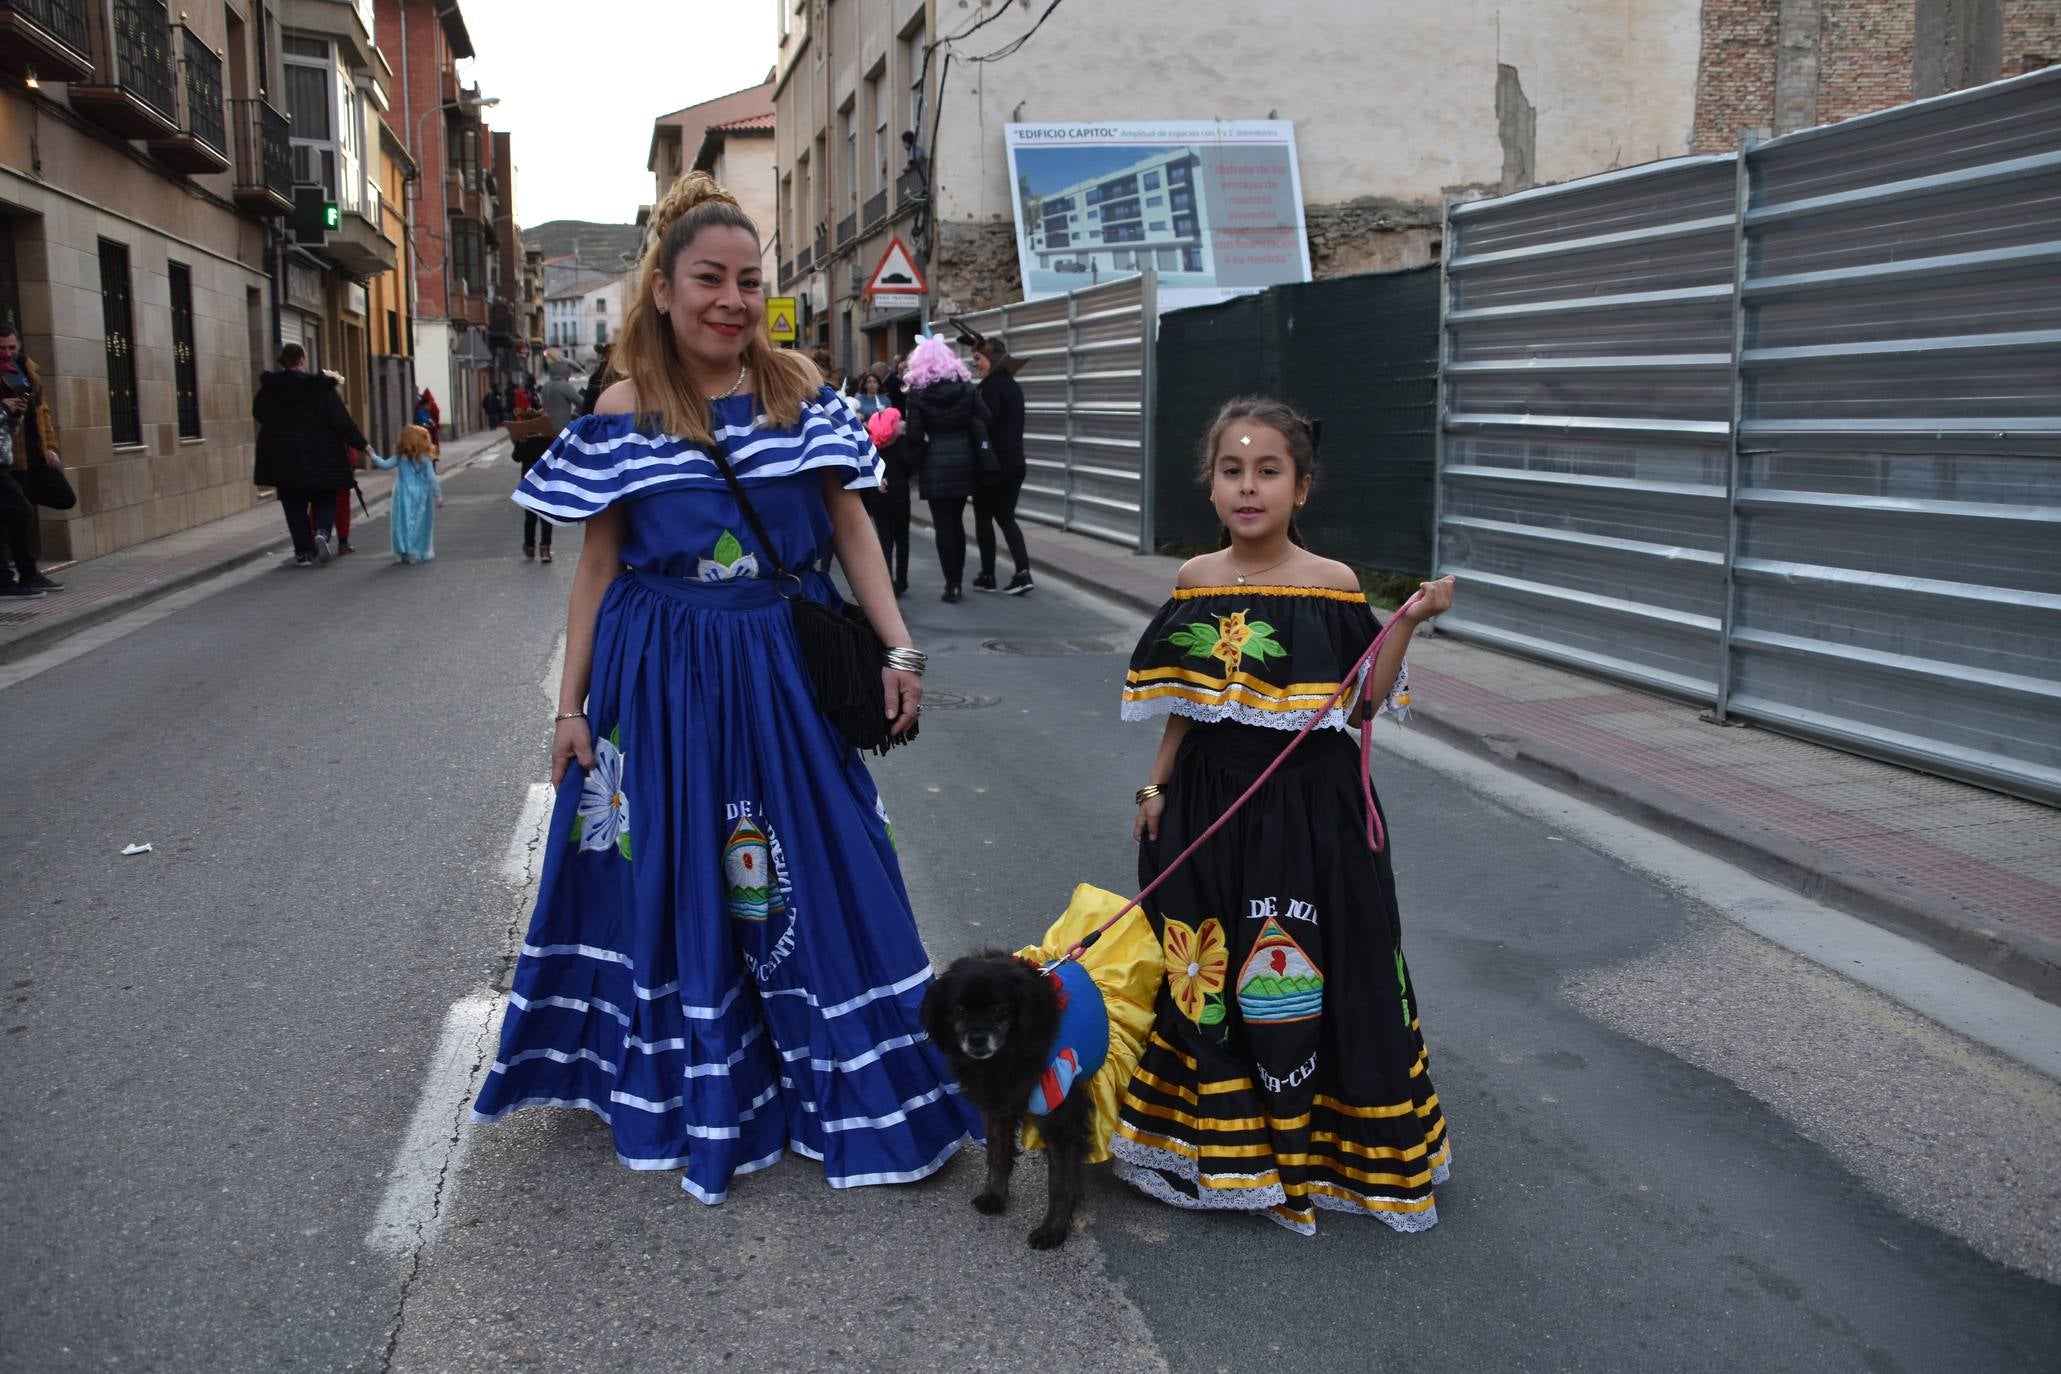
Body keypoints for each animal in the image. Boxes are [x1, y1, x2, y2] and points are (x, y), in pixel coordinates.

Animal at [931, 951, 1104, 1252]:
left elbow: (1059, 1182)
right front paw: (994, 1196)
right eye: (959, 1010)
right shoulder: (998, 1104)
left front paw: (1053, 1230)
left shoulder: (1059, 1115)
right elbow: (997, 1155)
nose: (977, 1040)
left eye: (999, 1011)